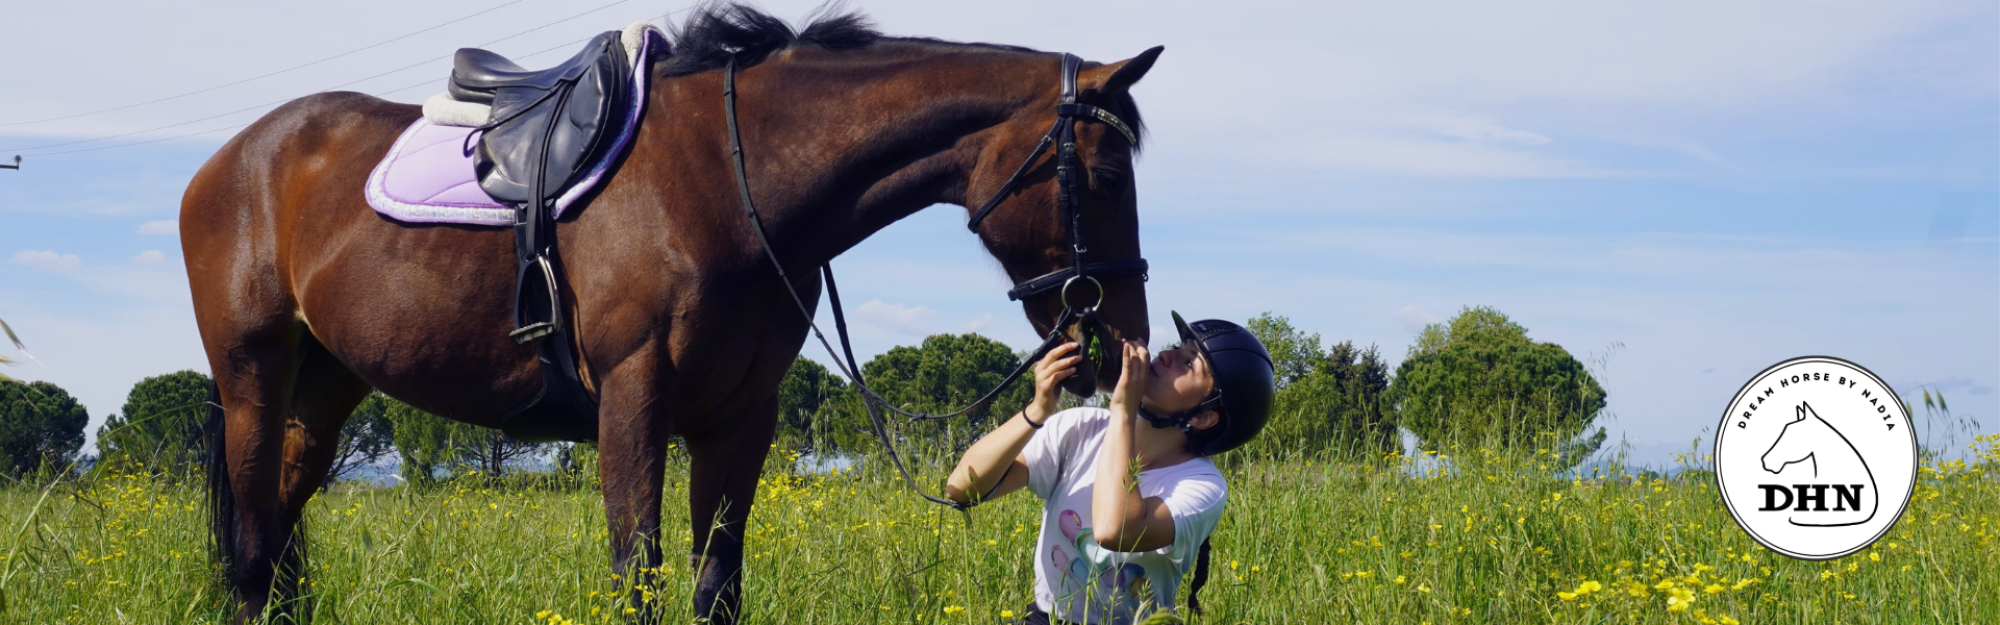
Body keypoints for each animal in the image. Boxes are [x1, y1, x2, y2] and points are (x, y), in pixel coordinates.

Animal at [179, 6, 1159, 623]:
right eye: (1107, 174)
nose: (1121, 343)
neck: (732, 178)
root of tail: (231, 158)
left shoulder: (742, 417)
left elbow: (716, 582)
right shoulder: (634, 398)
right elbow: (637, 577)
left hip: (325, 389)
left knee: (276, 545)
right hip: (254, 376)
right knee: (255, 554)